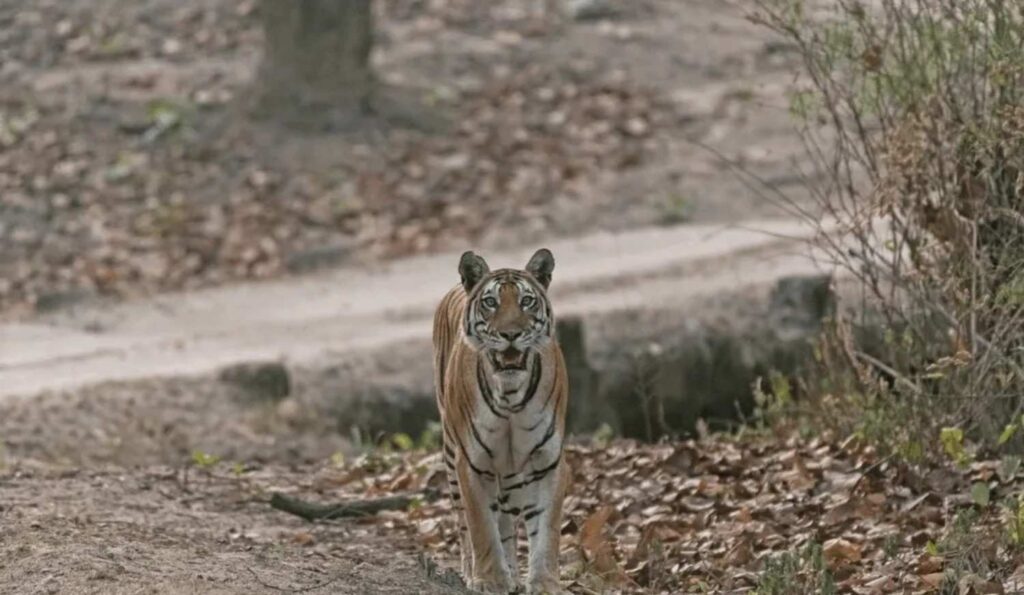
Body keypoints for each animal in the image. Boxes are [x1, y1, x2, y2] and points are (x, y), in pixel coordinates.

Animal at [432, 248, 570, 594]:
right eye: (491, 302)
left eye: (527, 301)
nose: (511, 335)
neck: (510, 396)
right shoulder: (472, 463)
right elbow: (481, 525)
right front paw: (489, 579)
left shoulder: (547, 462)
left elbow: (546, 528)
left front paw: (544, 582)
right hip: (451, 453)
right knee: (465, 523)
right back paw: (474, 572)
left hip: (511, 473)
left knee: (507, 521)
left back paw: (513, 574)